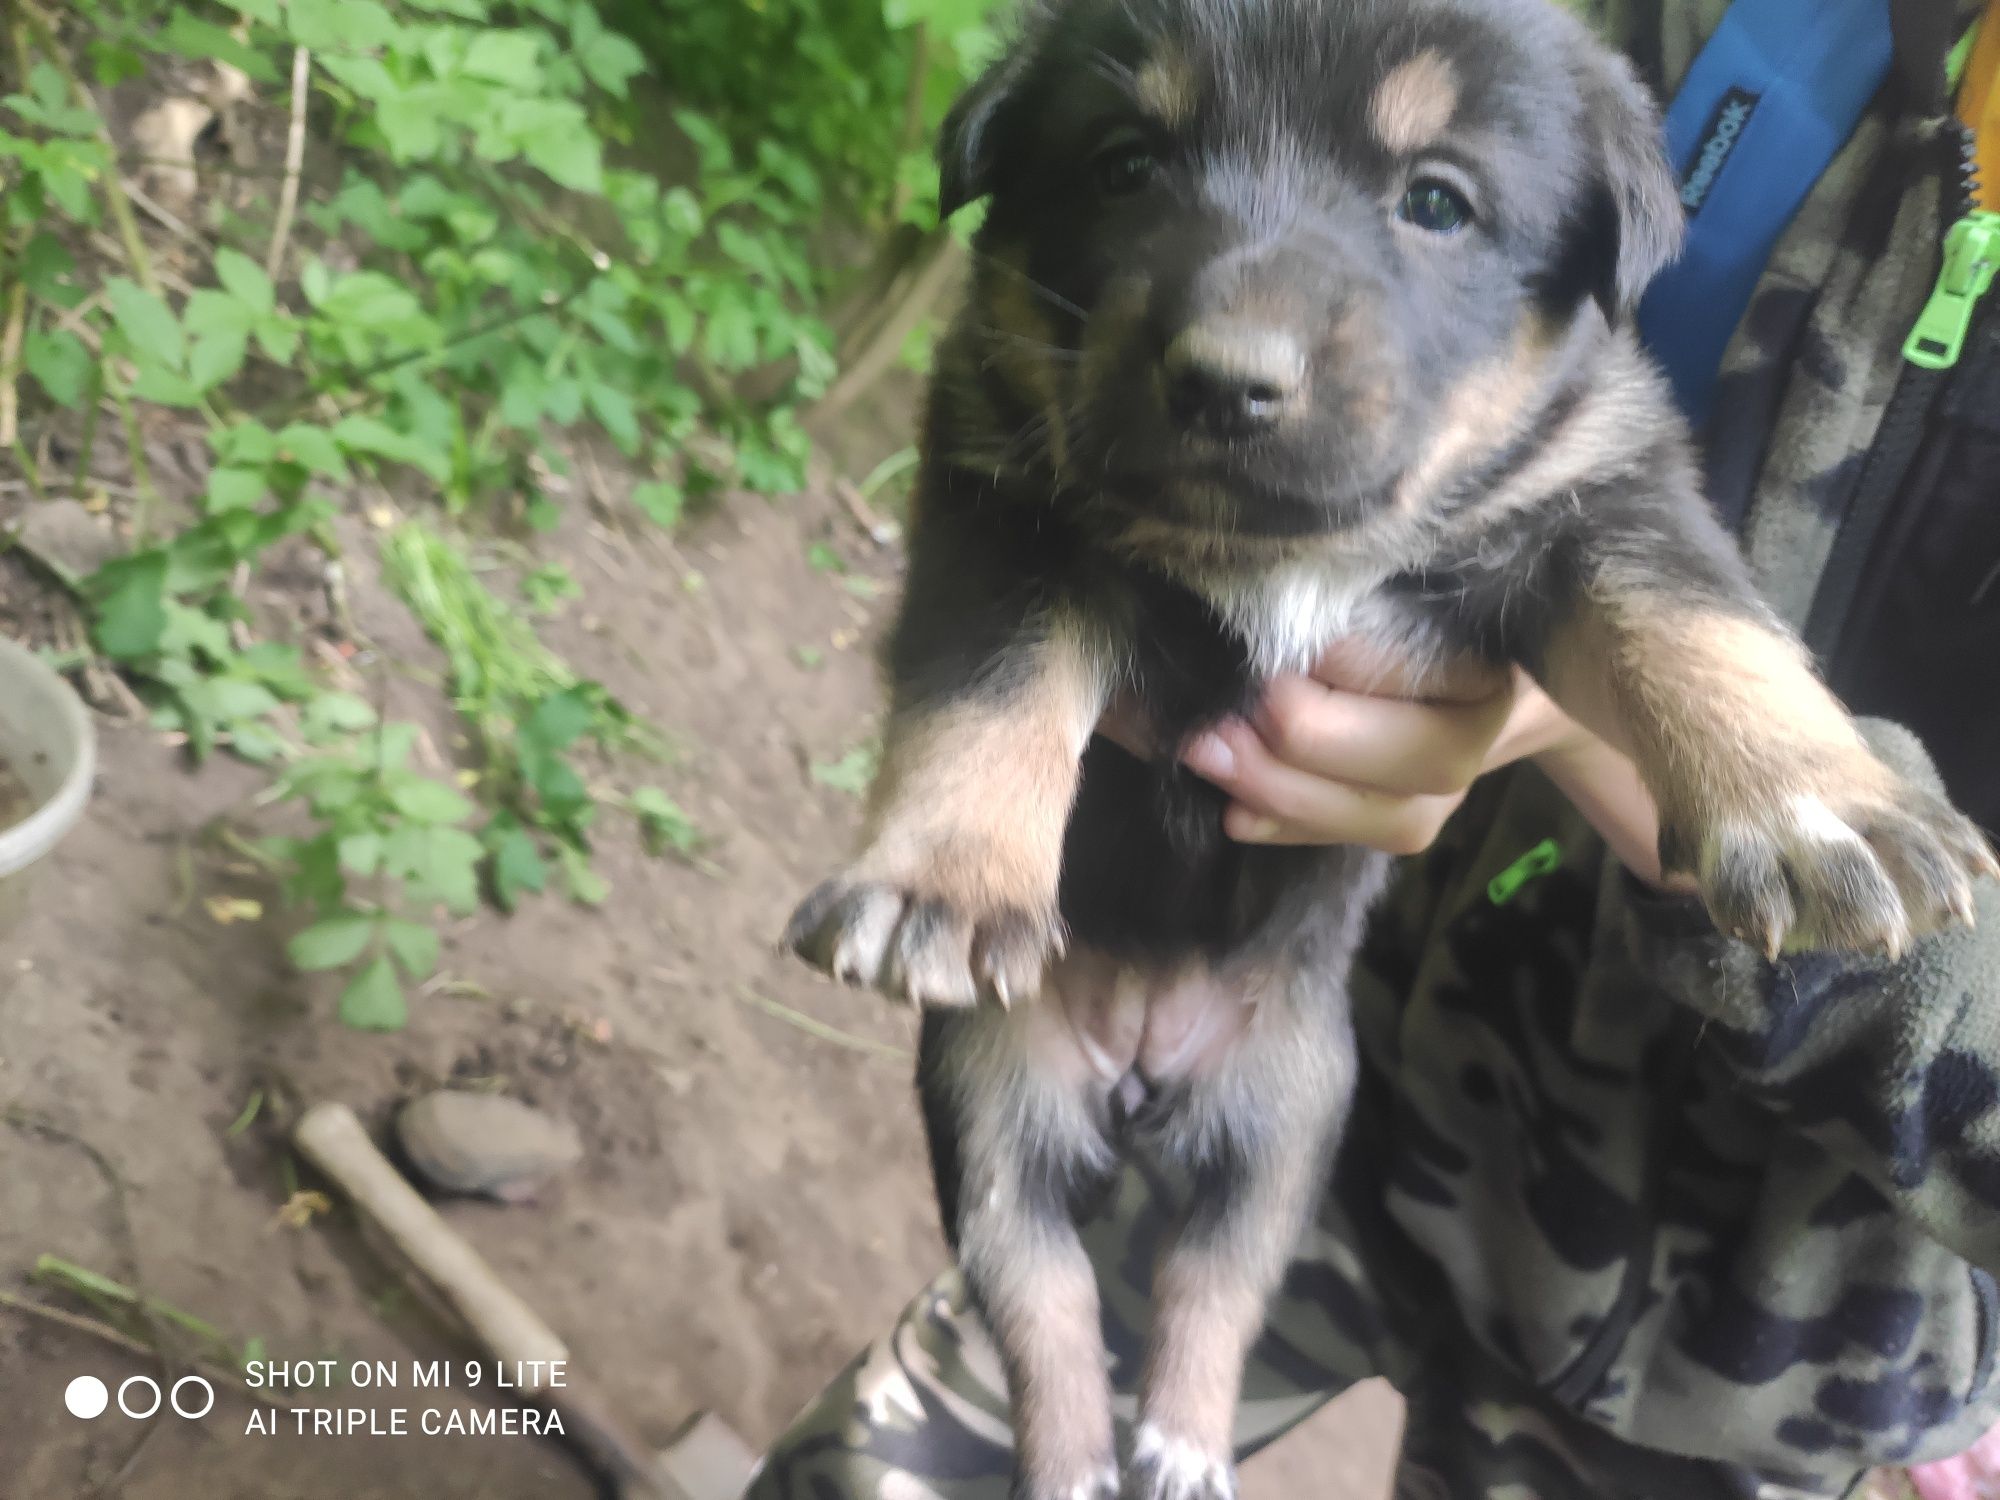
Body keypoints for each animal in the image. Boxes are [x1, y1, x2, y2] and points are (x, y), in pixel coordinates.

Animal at [788, 2, 1992, 1500]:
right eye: (1125, 164)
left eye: (1435, 203)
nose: (1225, 383)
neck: (1272, 556)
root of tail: (1143, 1060)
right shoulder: (1001, 499)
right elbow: (992, 688)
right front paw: (942, 881)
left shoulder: (1600, 493)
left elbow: (1702, 624)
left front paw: (1827, 807)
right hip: (993, 1096)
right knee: (1047, 1298)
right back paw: (1081, 1463)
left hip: (1293, 1119)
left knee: (1211, 1283)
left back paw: (1182, 1443)